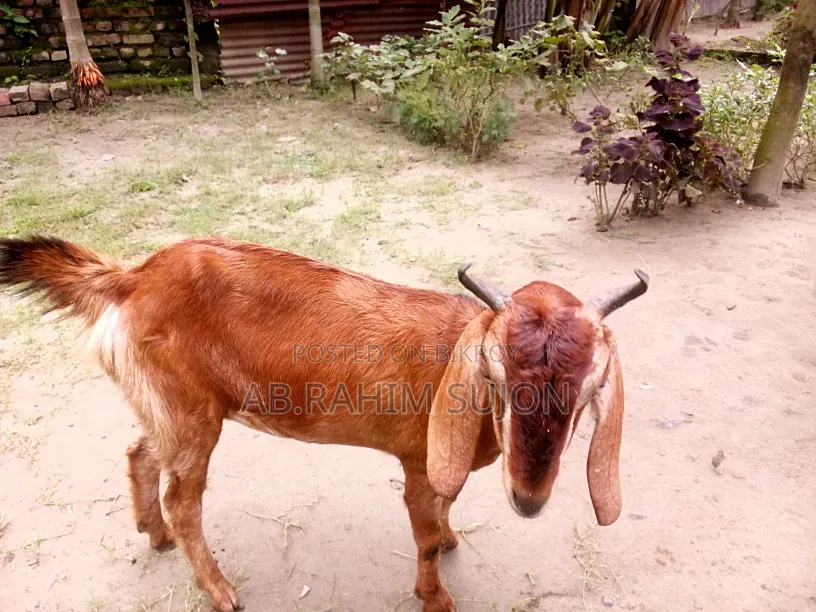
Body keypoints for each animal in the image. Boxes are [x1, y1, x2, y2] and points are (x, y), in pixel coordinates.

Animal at [0, 235, 648, 612]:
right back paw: (218, 589)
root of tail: (133, 279)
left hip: (169, 408)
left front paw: (450, 538)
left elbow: (445, 516)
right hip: (191, 418)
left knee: (139, 452)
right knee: (183, 500)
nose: (529, 499)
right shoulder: (419, 466)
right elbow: (424, 537)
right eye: (497, 374)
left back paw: (153, 534)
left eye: (589, 390)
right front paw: (435, 595)